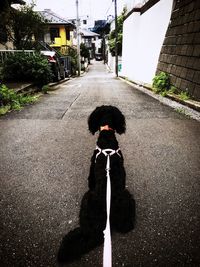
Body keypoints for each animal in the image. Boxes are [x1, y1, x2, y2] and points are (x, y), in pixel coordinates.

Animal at [57, 106, 136, 264]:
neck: (107, 139)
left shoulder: (91, 170)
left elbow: (90, 180)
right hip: (125, 202)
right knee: (126, 226)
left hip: (88, 199)